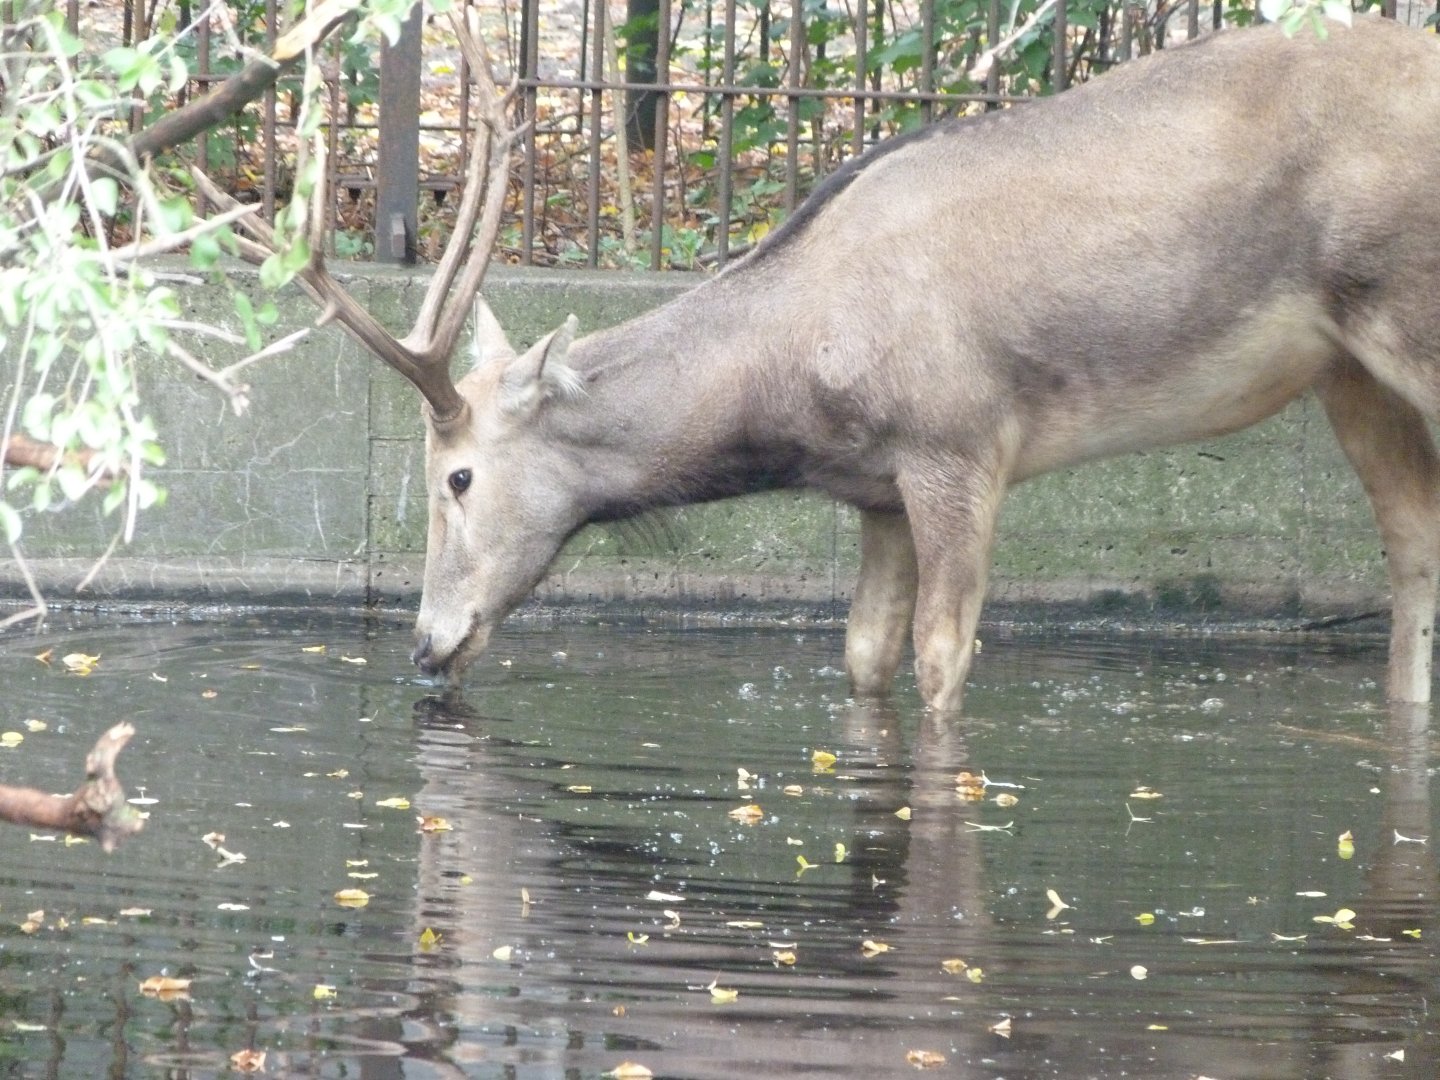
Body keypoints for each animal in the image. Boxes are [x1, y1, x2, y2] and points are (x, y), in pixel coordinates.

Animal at [204, 14, 1440, 713]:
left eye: (455, 477)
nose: (427, 644)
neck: (802, 381)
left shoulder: (957, 441)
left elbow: (942, 661)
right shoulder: (878, 490)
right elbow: (862, 658)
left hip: (1409, 312)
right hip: (1347, 370)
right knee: (1413, 552)